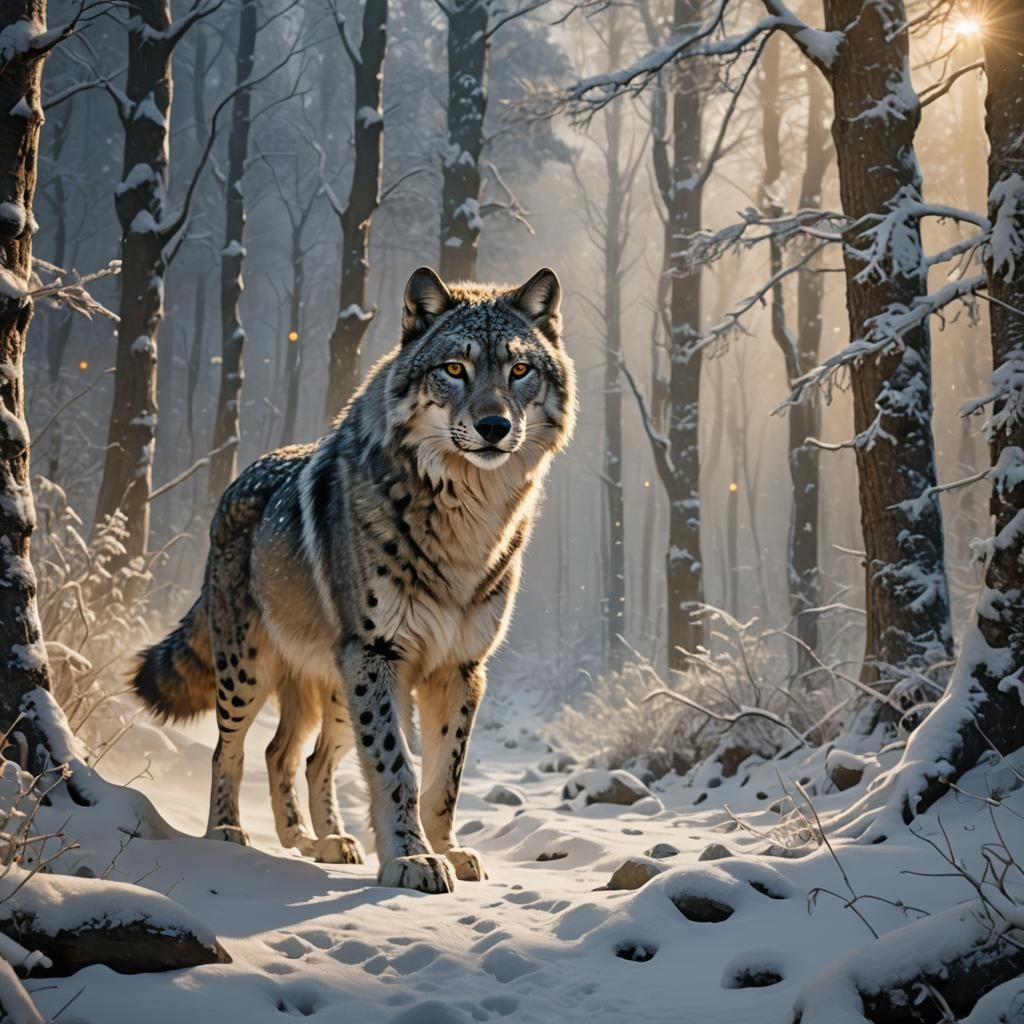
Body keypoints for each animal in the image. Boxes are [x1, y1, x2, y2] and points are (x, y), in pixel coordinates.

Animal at [131, 266, 575, 893]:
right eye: (454, 369)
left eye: (519, 369)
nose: (494, 426)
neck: (467, 525)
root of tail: (239, 478)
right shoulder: (377, 653)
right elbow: (397, 768)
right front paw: (413, 859)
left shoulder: (460, 668)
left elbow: (446, 778)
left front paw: (446, 850)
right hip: (252, 672)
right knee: (230, 750)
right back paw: (227, 834)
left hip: (336, 692)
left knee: (292, 754)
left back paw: (319, 841)